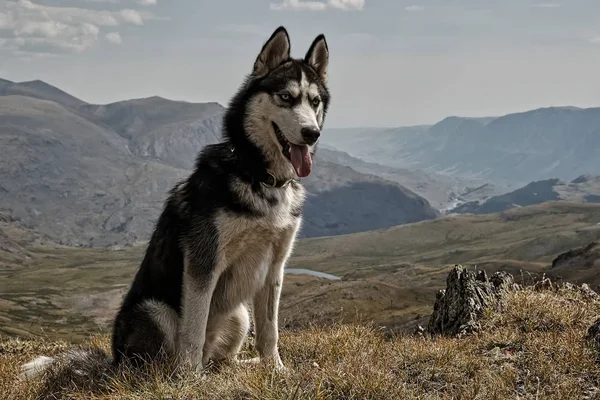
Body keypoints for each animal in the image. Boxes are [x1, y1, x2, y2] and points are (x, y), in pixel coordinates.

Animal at [19, 25, 328, 382]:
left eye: (315, 101)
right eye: (286, 97)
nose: (312, 133)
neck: (257, 174)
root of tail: (114, 362)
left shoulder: (274, 268)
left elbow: (270, 331)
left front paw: (276, 369)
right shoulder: (203, 264)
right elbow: (193, 329)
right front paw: (189, 380)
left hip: (239, 315)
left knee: (221, 359)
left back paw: (239, 367)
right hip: (156, 311)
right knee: (160, 364)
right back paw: (182, 374)